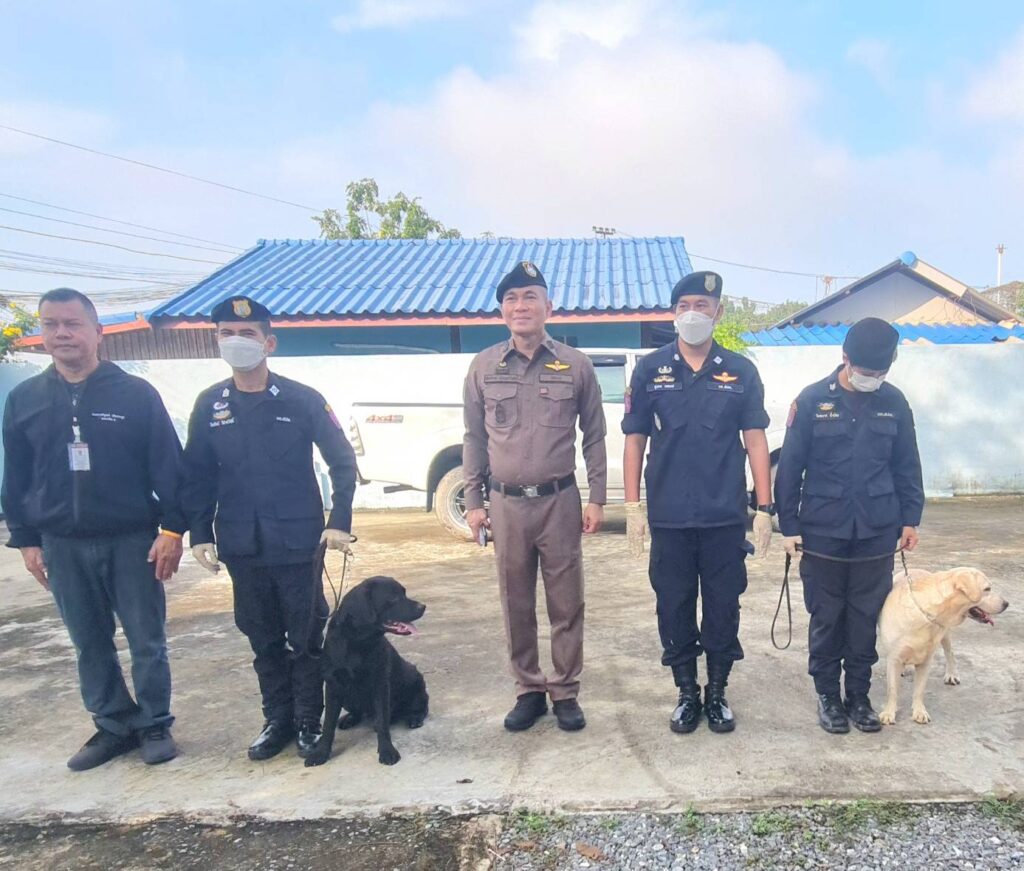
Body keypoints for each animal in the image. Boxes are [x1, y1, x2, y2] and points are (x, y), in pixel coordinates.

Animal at [304, 576, 428, 767]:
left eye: (404, 593)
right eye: (393, 598)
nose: (422, 606)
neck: (357, 643)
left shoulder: (380, 685)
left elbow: (383, 723)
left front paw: (387, 751)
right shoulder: (333, 686)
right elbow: (328, 726)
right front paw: (321, 753)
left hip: (415, 680)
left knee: (419, 706)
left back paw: (414, 718)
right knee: (359, 712)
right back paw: (349, 719)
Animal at [877, 567, 1008, 726]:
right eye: (987, 589)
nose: (1006, 604)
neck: (925, 614)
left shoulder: (926, 661)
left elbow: (919, 690)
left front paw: (919, 712)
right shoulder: (893, 659)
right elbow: (892, 690)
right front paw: (889, 713)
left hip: (945, 634)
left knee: (950, 653)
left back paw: (951, 674)